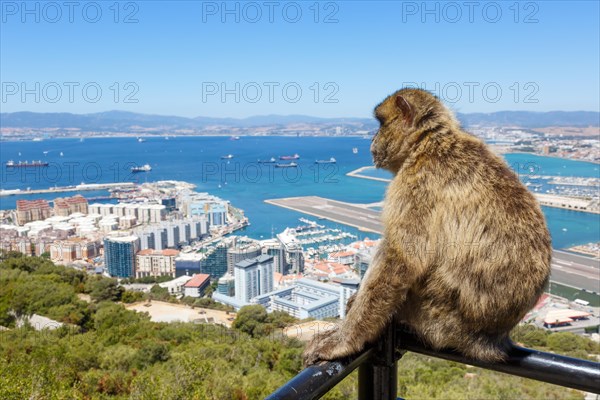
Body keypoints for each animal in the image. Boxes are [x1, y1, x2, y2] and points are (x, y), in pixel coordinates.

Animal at [304, 86, 552, 366]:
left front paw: (344, 341)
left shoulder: (416, 184)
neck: (427, 142)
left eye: (380, 123)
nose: (372, 139)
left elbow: (403, 259)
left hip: (437, 316)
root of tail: (491, 341)